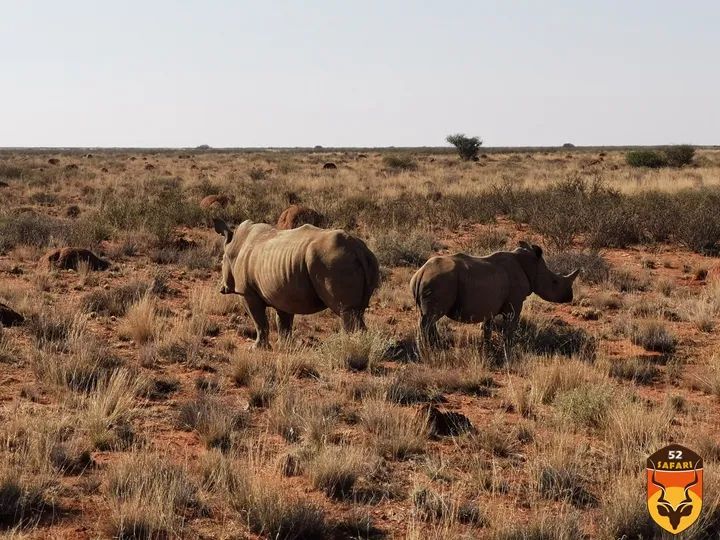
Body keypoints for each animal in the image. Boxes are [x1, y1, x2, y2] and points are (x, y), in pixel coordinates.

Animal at [214, 219, 380, 350]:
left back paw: (348, 349)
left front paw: (256, 348)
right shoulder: (282, 291)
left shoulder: (247, 292)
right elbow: (283, 321)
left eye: (222, 262)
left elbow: (259, 321)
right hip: (365, 259)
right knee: (357, 311)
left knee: (346, 310)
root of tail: (358, 249)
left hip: (333, 260)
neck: (234, 246)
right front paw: (284, 346)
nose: (222, 289)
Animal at [410, 240, 580, 350]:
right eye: (554, 282)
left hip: (434, 281)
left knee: (429, 317)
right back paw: (427, 350)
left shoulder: (489, 304)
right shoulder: (514, 304)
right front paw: (509, 348)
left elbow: (487, 328)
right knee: (430, 319)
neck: (532, 267)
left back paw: (435, 347)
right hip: (439, 281)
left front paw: (487, 347)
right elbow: (510, 326)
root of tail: (421, 273)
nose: (570, 297)